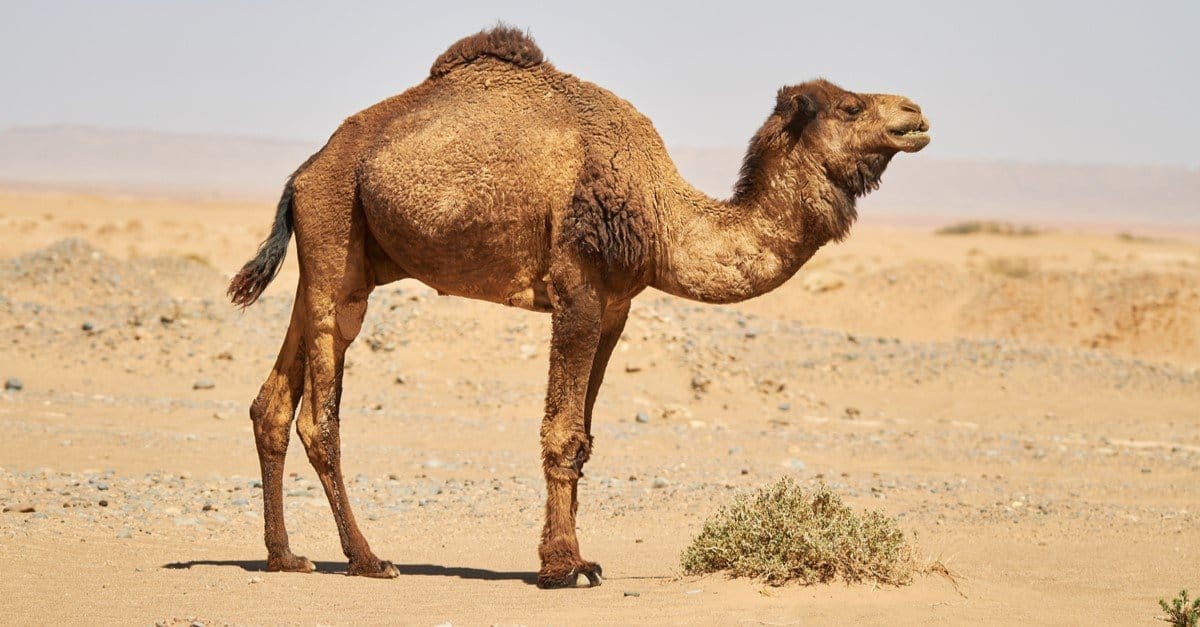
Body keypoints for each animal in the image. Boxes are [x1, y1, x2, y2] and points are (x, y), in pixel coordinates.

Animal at [228, 26, 930, 588]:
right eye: (850, 105)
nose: (916, 111)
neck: (658, 215)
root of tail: (303, 173)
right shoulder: (577, 291)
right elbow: (562, 435)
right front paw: (562, 566)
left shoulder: (617, 308)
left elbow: (586, 438)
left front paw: (578, 559)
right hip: (336, 236)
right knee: (319, 417)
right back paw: (369, 559)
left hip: (337, 263)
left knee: (272, 404)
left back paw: (285, 557)